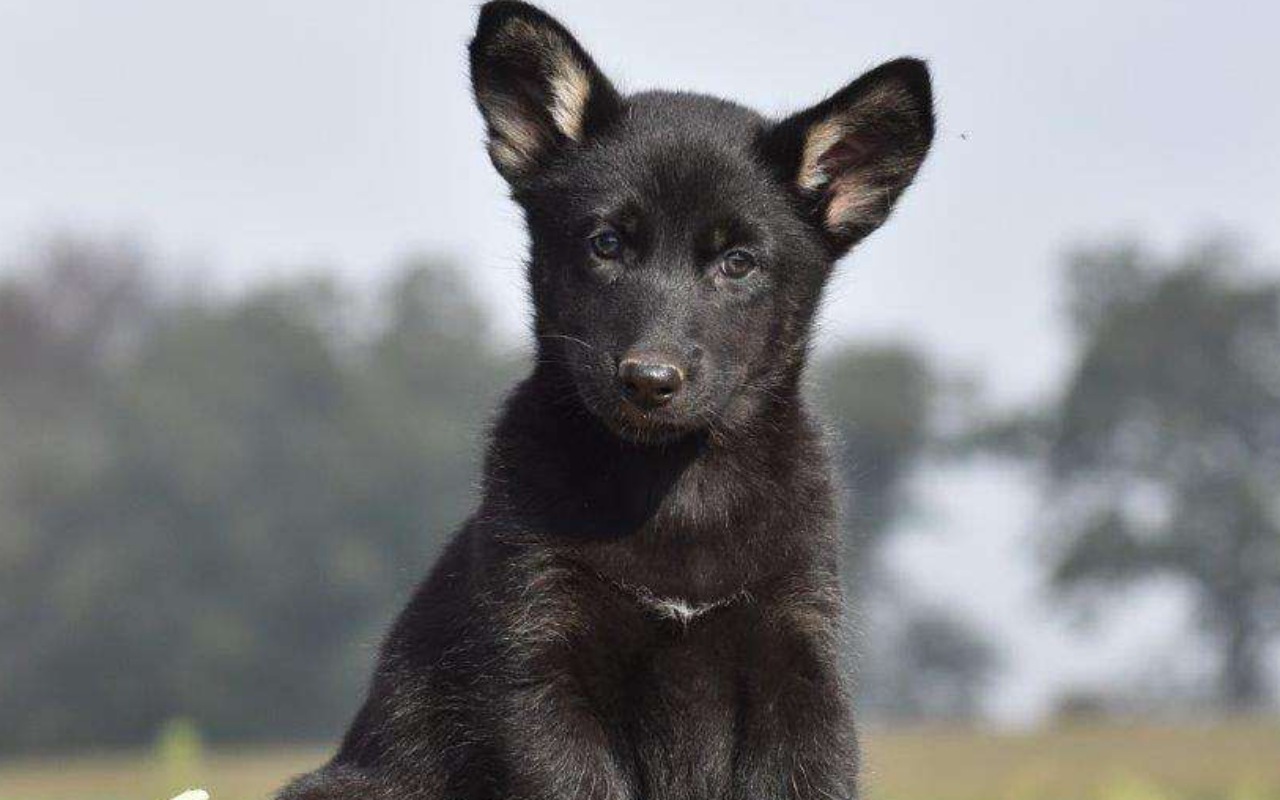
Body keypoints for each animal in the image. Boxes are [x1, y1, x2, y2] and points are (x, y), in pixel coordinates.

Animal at [280, 3, 931, 793]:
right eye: (607, 243)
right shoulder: (540, 660)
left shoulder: (798, 662)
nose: (648, 380)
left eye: (738, 262)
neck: (674, 486)